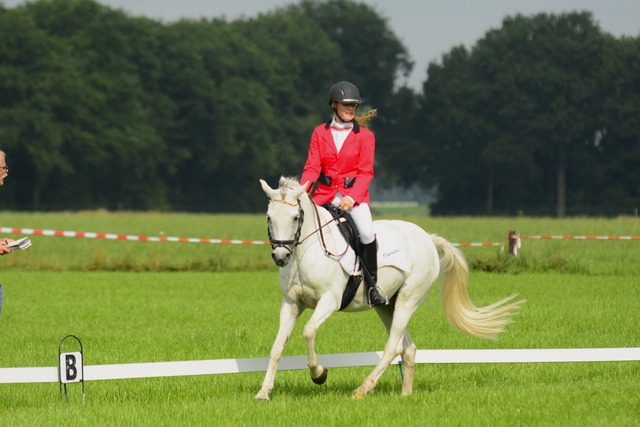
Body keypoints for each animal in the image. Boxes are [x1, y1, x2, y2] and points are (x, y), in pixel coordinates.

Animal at [256, 178, 524, 402]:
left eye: (295, 217)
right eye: (269, 217)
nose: (281, 257)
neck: (304, 253)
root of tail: (427, 237)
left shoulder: (329, 301)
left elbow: (309, 330)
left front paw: (319, 373)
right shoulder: (291, 303)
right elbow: (277, 346)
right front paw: (264, 392)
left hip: (408, 299)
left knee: (393, 346)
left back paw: (363, 389)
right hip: (387, 306)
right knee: (408, 348)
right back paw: (405, 395)